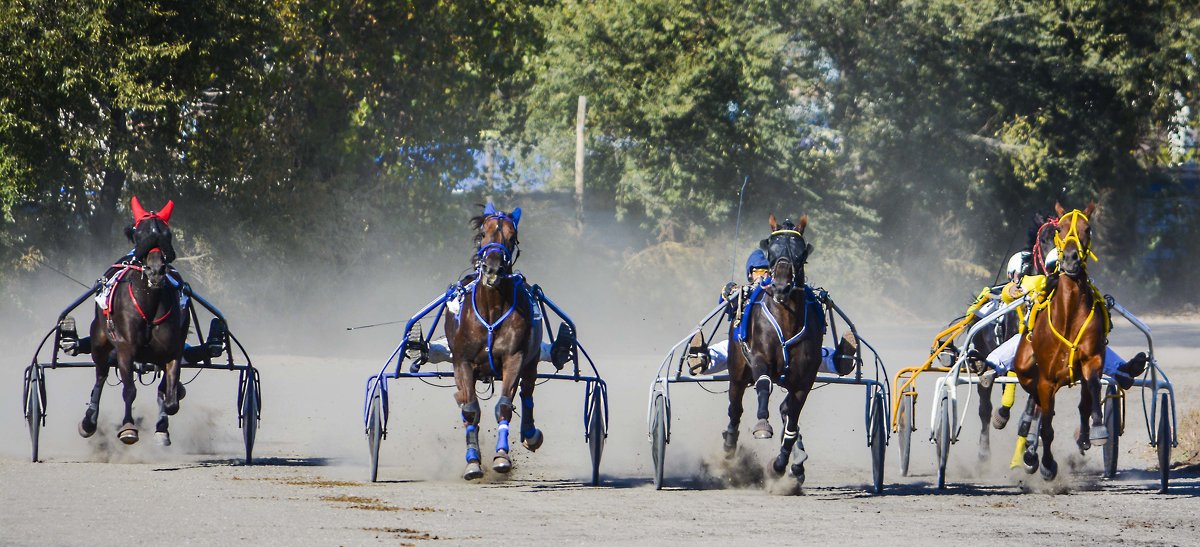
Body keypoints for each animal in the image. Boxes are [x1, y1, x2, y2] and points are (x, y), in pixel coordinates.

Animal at [78, 199, 188, 446]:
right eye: (140, 234)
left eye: (167, 234)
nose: (156, 270)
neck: (148, 304)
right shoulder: (125, 349)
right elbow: (129, 390)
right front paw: (128, 428)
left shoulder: (172, 350)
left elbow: (171, 399)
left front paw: (163, 425)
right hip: (99, 342)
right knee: (100, 376)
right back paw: (89, 421)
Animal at [720, 213, 825, 482]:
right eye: (771, 249)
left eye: (800, 253)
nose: (780, 287)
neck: (786, 319)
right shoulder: (759, 358)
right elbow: (764, 384)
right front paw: (762, 426)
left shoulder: (804, 379)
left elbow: (792, 419)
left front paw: (780, 463)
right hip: (737, 371)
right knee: (735, 409)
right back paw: (729, 446)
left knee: (785, 409)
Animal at [1012, 200, 1104, 479]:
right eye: (1060, 229)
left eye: (1088, 229)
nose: (1071, 259)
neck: (1069, 311)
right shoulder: (1046, 378)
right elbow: (1046, 426)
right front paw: (1046, 463)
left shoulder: (1092, 357)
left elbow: (1092, 389)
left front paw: (1097, 429)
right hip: (1025, 366)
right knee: (1037, 402)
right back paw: (1030, 446)